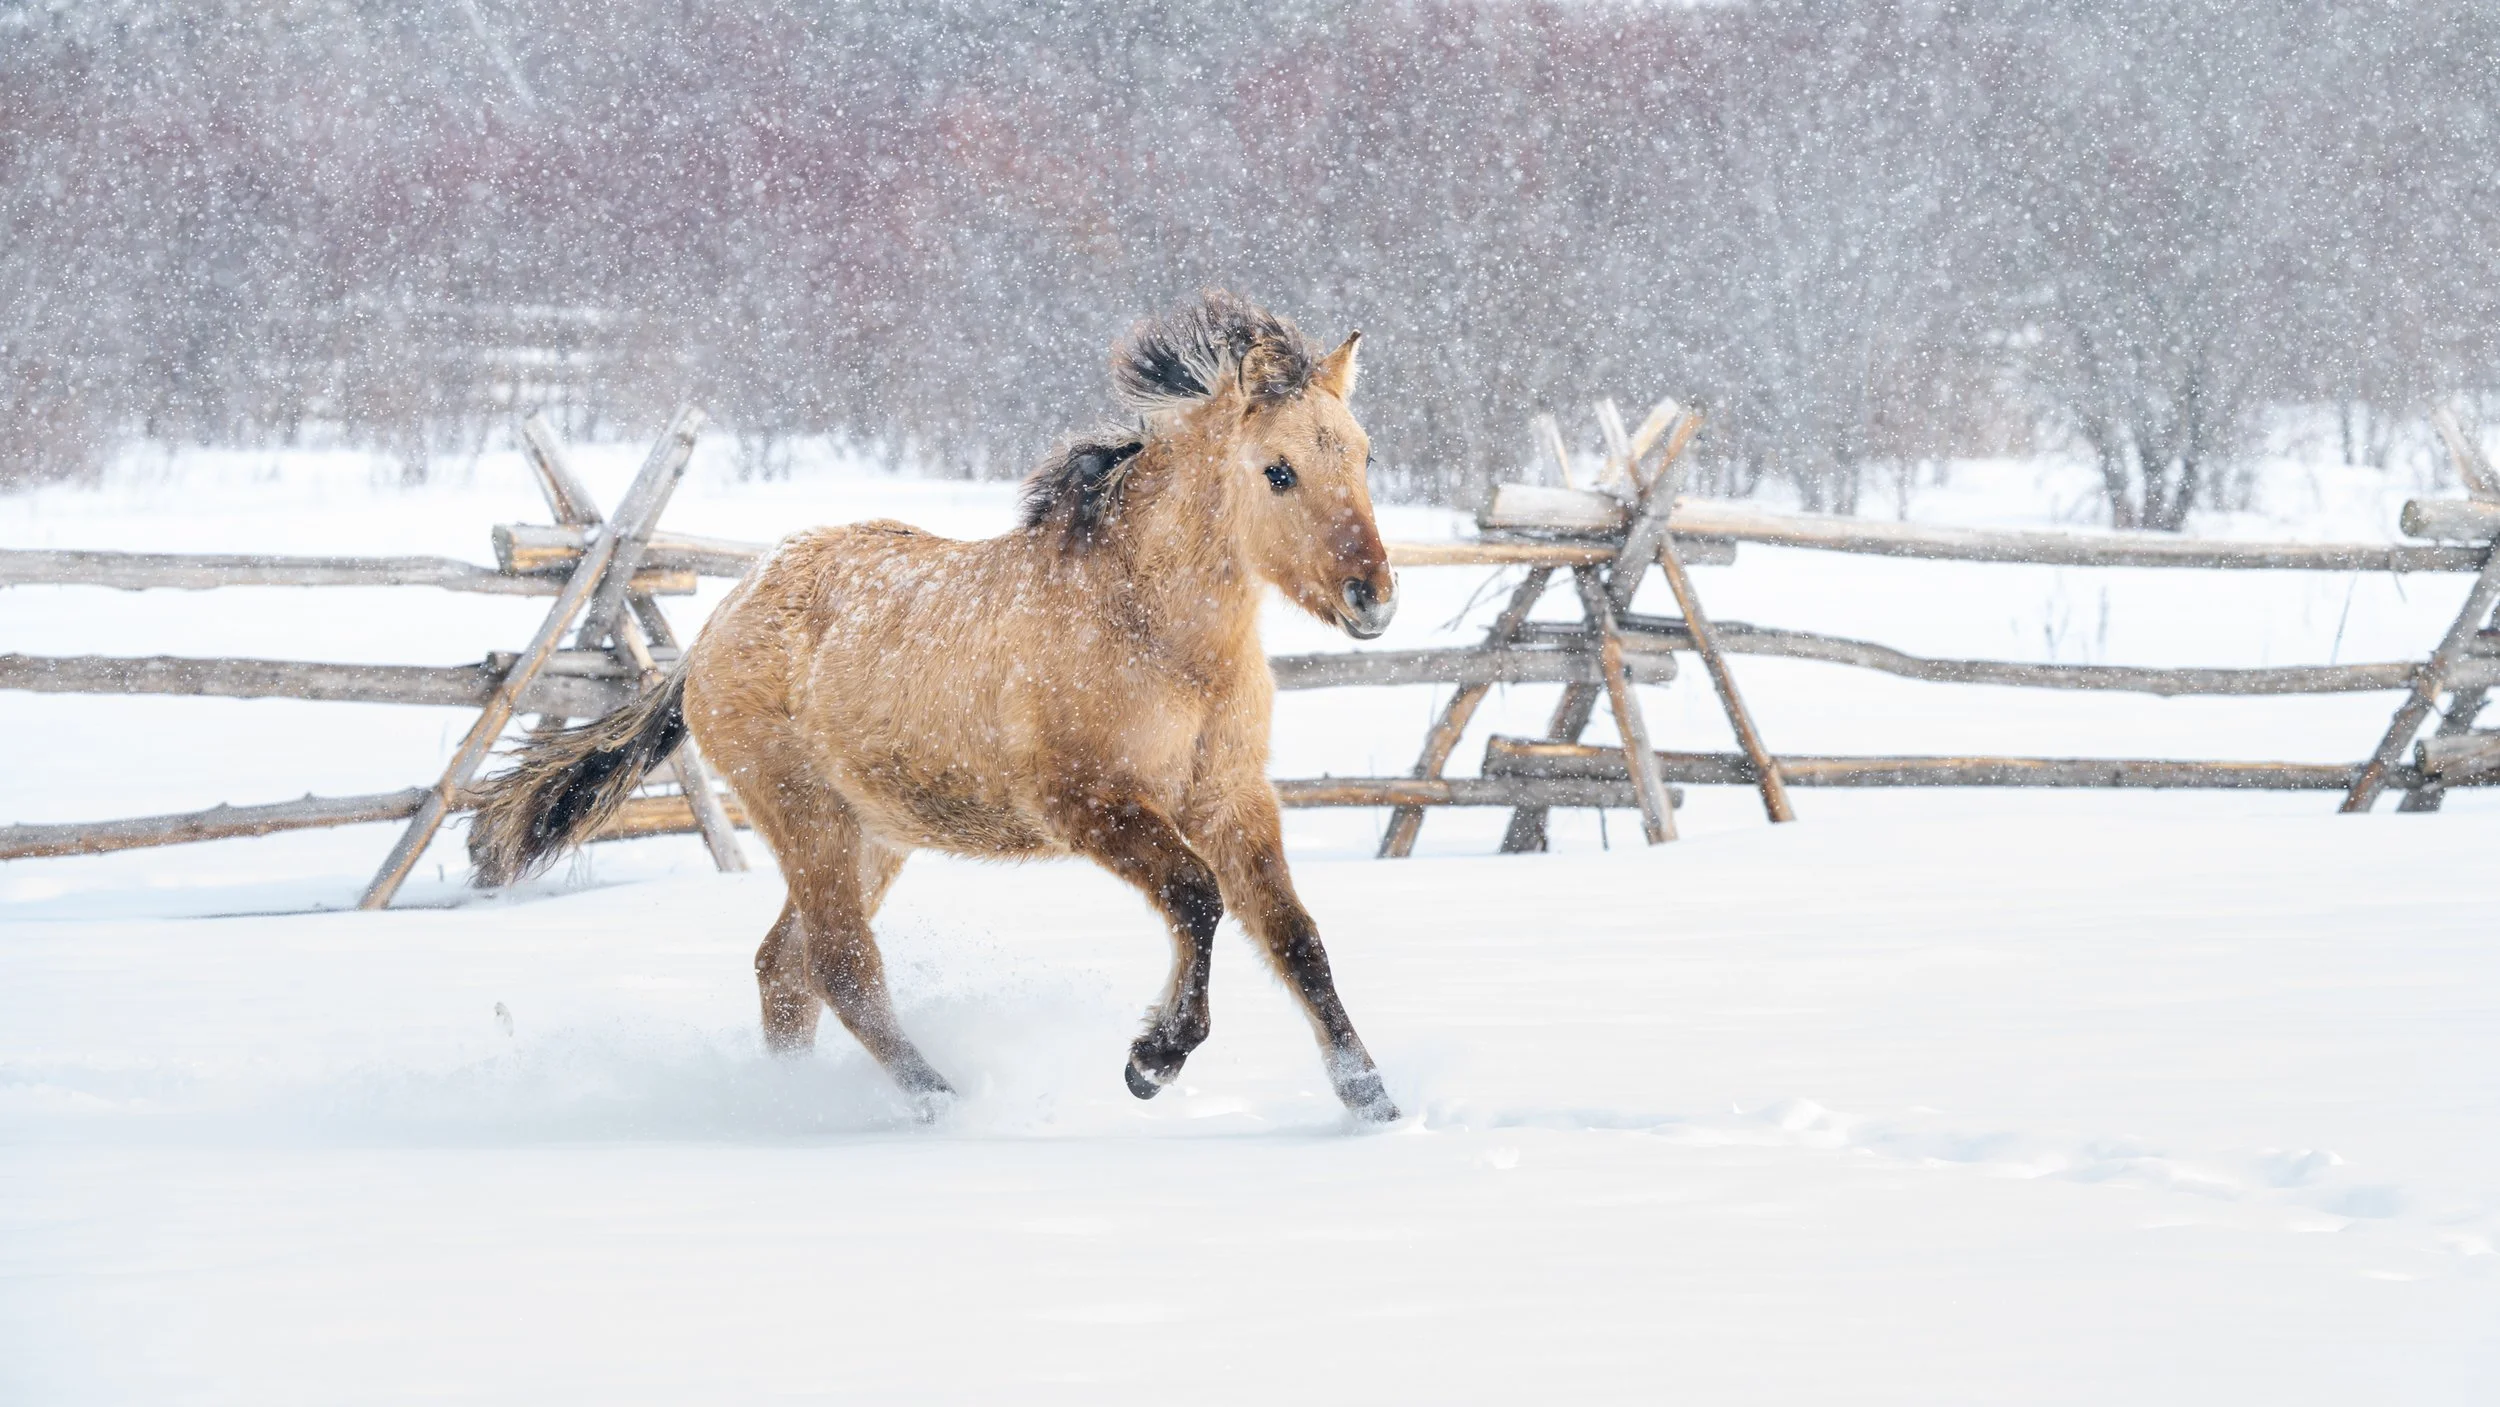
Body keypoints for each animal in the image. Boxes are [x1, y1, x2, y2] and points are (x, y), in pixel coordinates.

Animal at [467, 292, 1403, 1122]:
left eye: (1362, 456)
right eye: (1277, 471)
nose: (1375, 599)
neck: (1155, 635)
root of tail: (716, 624)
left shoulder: (1231, 798)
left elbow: (1295, 938)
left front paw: (1371, 1100)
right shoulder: (1089, 804)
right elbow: (1196, 897)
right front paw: (1152, 1060)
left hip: (872, 835)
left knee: (785, 968)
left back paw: (799, 1098)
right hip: (806, 817)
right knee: (840, 966)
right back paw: (938, 1100)